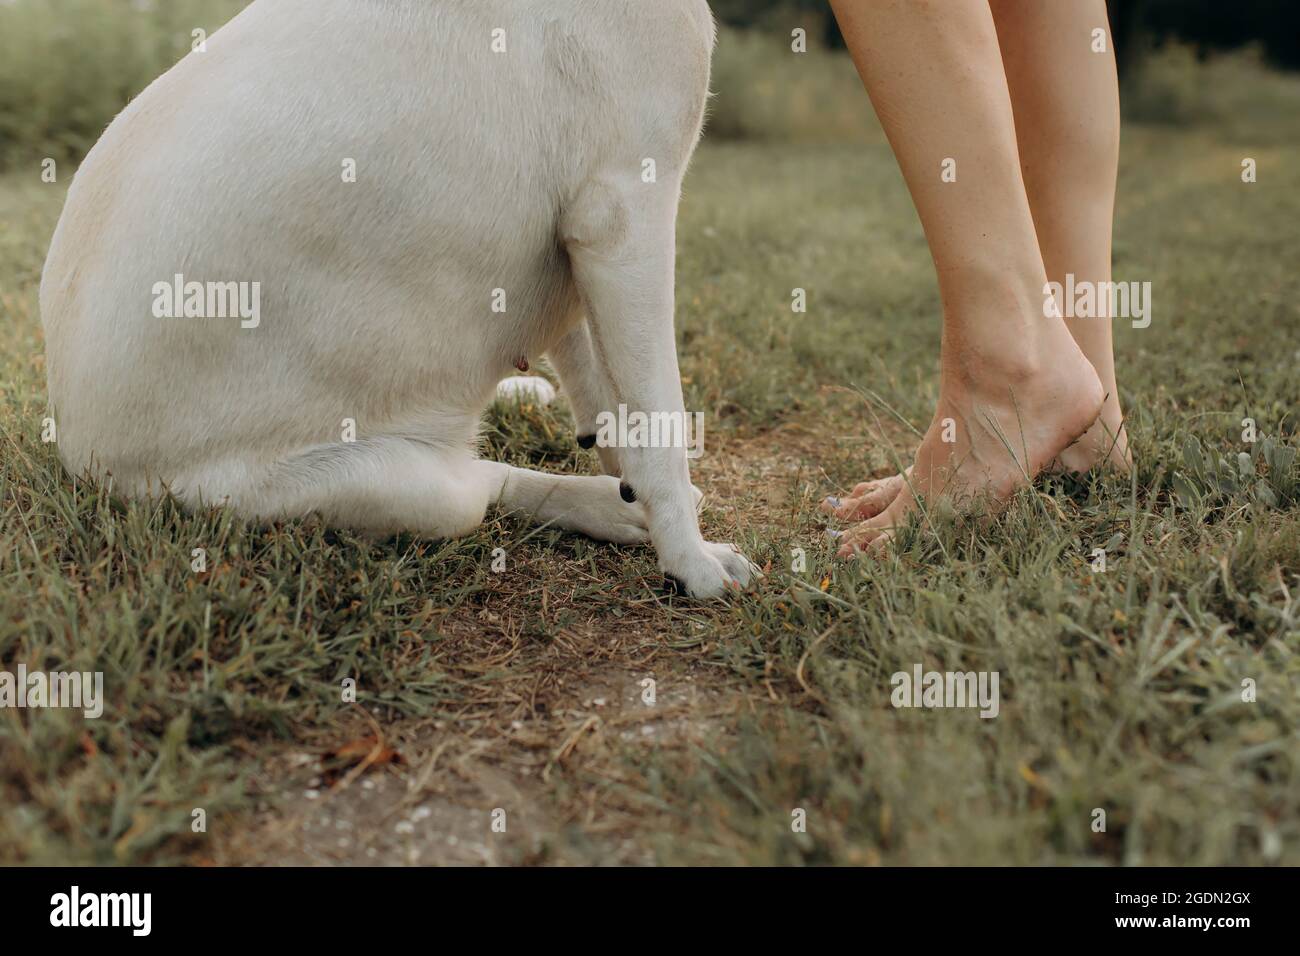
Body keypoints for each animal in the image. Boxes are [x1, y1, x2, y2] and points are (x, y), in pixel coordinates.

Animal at [40, 0, 759, 598]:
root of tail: (79, 456)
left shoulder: (579, 247)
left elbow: (605, 393)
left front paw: (631, 479)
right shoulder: (623, 218)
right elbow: (660, 422)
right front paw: (689, 562)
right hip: (401, 491)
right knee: (480, 482)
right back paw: (606, 505)